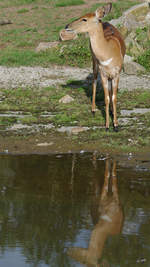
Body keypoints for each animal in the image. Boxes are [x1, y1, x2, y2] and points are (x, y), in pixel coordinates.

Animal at [63, 2, 125, 132]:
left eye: (84, 19)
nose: (67, 25)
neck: (108, 54)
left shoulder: (117, 73)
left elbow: (113, 97)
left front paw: (116, 125)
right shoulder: (103, 73)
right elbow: (106, 98)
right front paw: (107, 126)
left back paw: (111, 111)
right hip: (95, 64)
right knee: (94, 81)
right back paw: (93, 110)